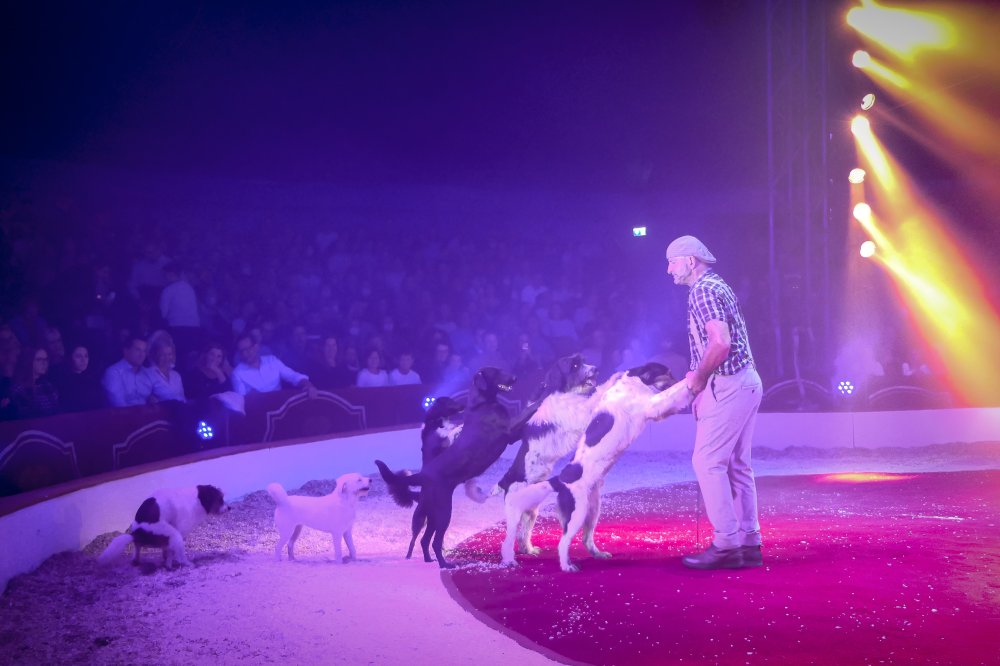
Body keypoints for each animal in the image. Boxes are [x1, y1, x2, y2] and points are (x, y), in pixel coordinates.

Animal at [97, 485, 229, 568]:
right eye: (220, 499)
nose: (229, 508)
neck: (198, 499)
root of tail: (137, 533)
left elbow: (168, 552)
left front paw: (167, 563)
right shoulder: (181, 530)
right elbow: (173, 553)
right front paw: (169, 564)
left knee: (137, 547)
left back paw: (137, 560)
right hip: (174, 534)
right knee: (180, 557)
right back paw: (188, 564)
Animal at [376, 366, 537, 568]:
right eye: (495, 372)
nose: (515, 378)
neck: (482, 404)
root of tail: (423, 474)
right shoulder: (509, 431)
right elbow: (530, 409)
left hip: (433, 515)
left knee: (425, 540)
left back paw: (429, 560)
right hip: (444, 512)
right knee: (434, 542)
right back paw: (445, 564)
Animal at [501, 362, 691, 572]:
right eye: (668, 373)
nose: (680, 374)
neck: (635, 381)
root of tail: (560, 480)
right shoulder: (653, 405)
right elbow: (674, 392)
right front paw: (692, 379)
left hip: (593, 510)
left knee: (586, 538)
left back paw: (598, 554)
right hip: (578, 512)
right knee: (563, 542)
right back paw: (567, 566)